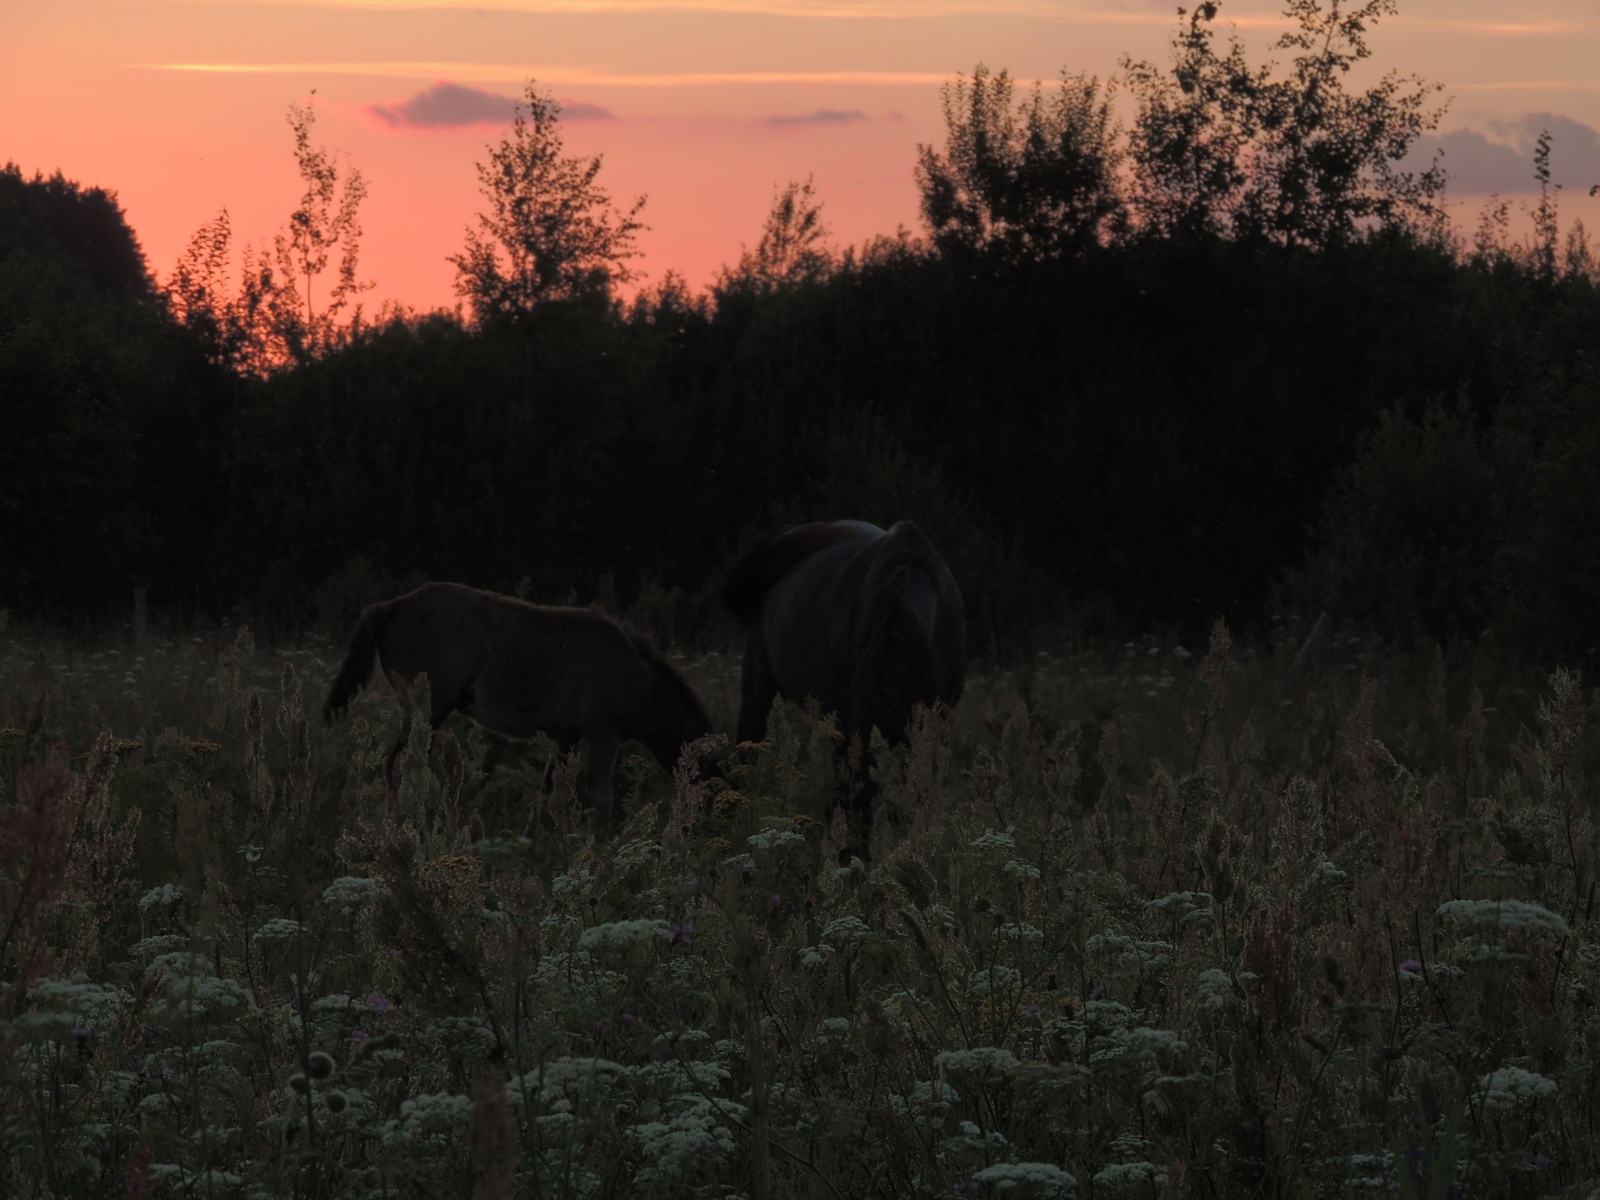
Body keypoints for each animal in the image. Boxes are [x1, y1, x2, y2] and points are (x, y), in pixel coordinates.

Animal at [321, 585, 710, 825]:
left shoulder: (566, 740)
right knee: (399, 766)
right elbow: (602, 801)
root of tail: (392, 606)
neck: (637, 675)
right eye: (711, 784)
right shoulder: (603, 734)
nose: (699, 829)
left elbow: (545, 801)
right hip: (426, 711)